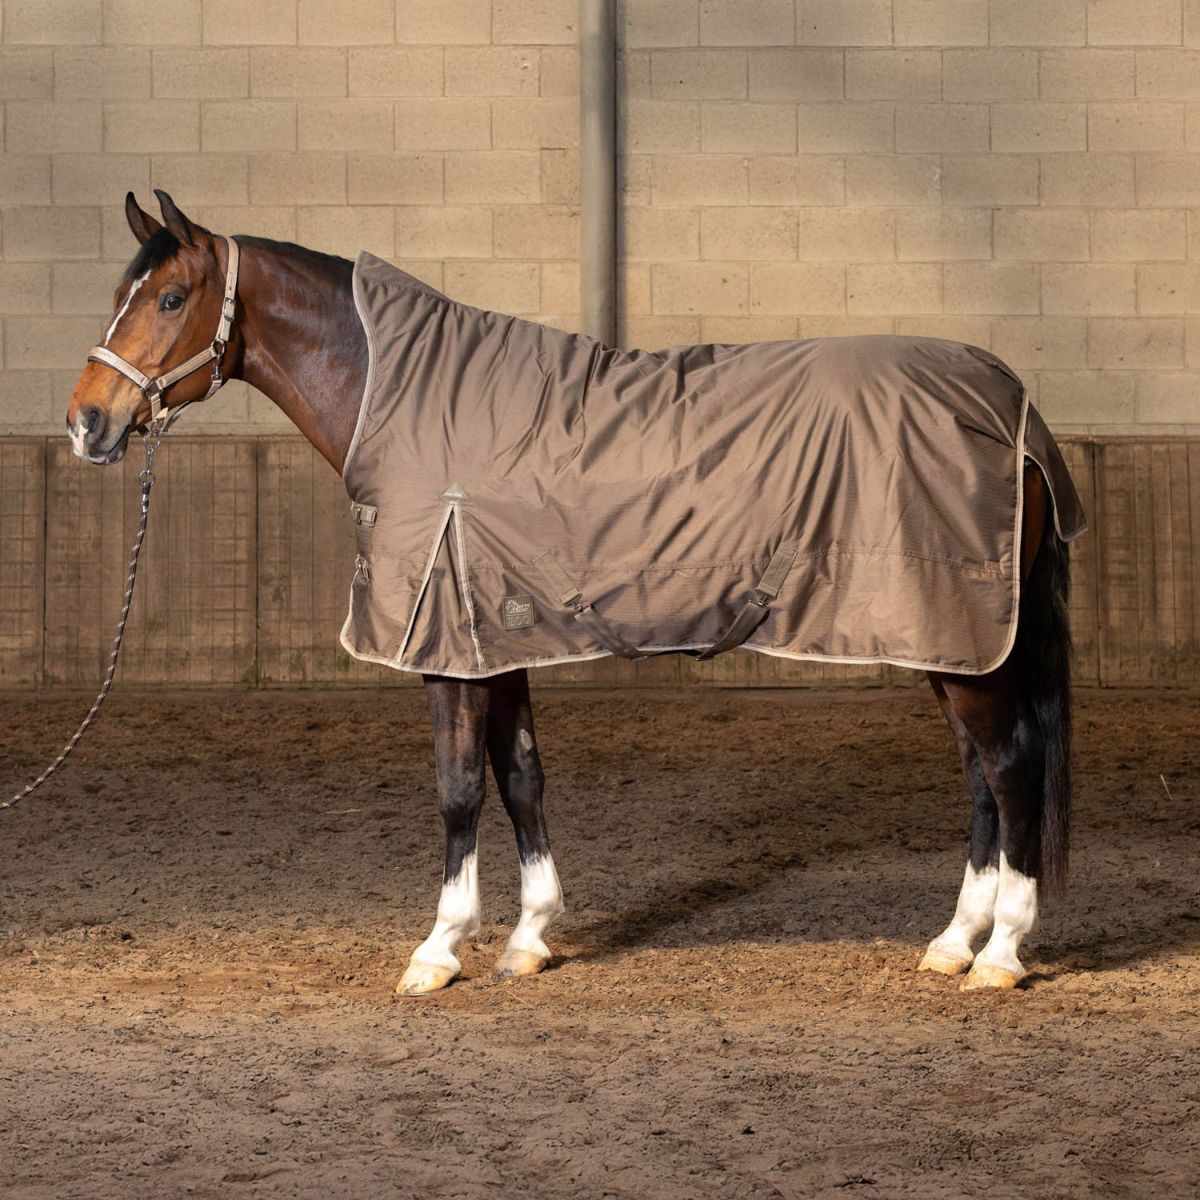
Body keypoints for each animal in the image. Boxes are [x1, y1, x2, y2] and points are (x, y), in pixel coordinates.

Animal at [66, 190, 1076, 995]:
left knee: (1010, 765)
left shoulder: (450, 651)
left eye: (169, 297)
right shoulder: (492, 640)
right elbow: (521, 779)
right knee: (980, 775)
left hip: (958, 636)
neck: (412, 402)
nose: (86, 422)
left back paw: (1000, 954)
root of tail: (1012, 405)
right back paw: (954, 941)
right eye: (117, 297)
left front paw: (439, 949)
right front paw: (530, 938)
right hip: (946, 641)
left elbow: (459, 790)